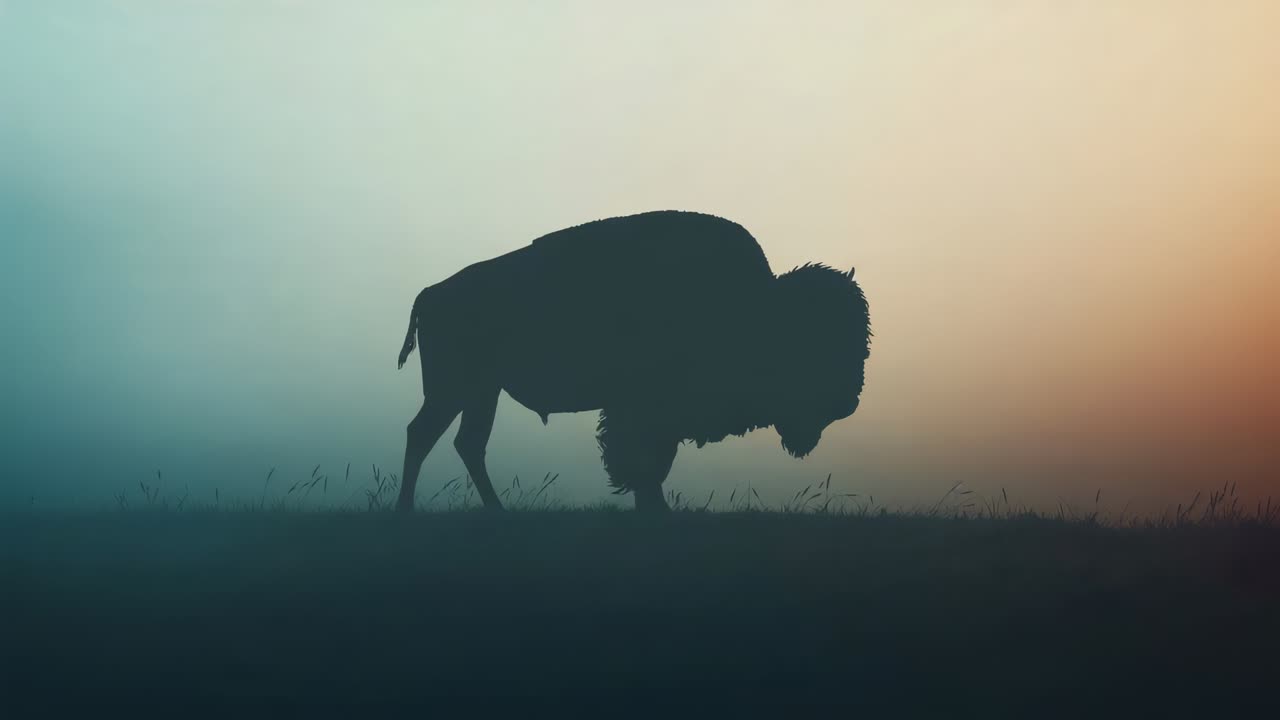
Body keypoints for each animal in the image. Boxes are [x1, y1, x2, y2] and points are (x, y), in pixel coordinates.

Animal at [396, 210, 871, 512]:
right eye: (812, 342)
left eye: (859, 343)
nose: (847, 403)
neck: (756, 307)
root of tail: (432, 292)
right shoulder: (643, 412)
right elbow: (644, 463)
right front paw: (654, 509)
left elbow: (655, 463)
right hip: (453, 389)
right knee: (423, 434)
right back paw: (406, 510)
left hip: (481, 392)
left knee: (467, 443)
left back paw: (496, 512)